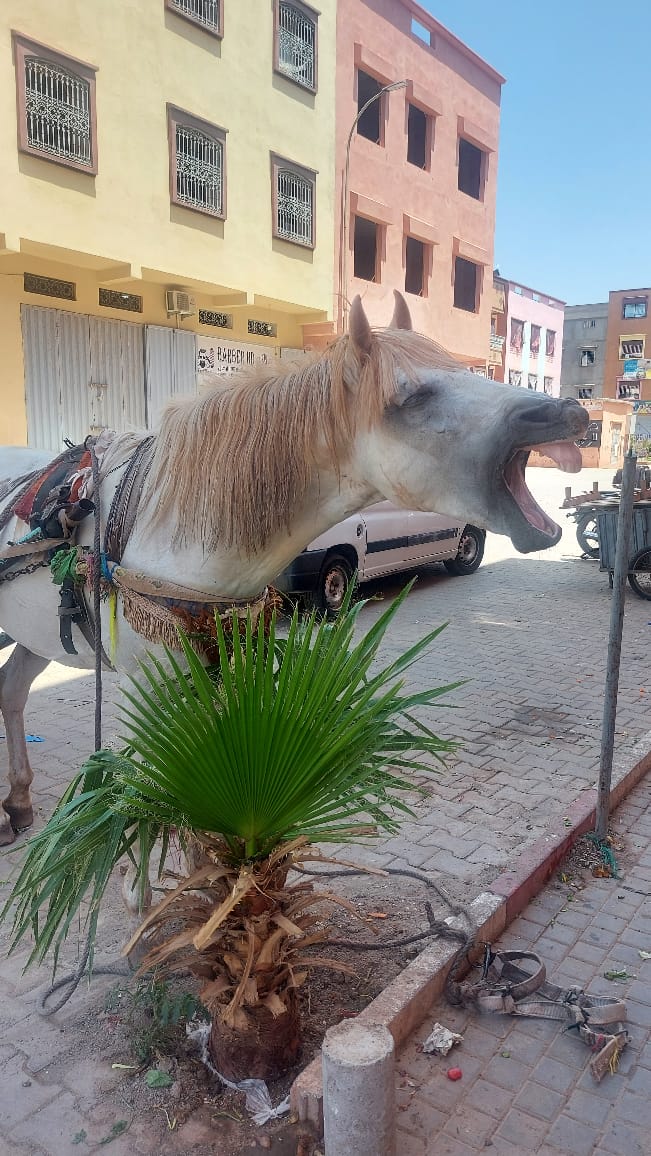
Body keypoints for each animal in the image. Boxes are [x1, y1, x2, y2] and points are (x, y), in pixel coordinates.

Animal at [0, 292, 588, 851]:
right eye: (412, 397)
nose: (567, 412)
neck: (168, 528)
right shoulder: (149, 693)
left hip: (33, 631)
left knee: (12, 689)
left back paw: (19, 803)